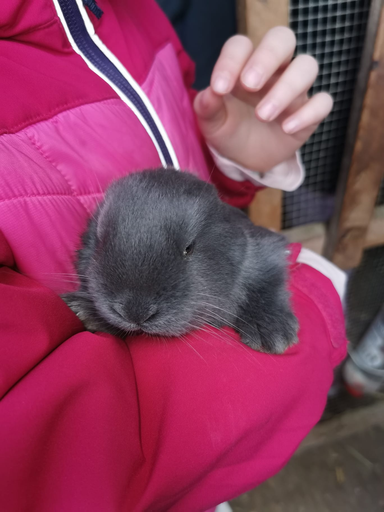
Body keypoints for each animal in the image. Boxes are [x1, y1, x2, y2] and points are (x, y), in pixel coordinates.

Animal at [63, 170, 298, 354]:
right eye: (100, 240)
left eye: (189, 248)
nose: (135, 313)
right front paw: (82, 309)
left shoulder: (265, 249)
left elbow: (267, 281)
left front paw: (272, 332)